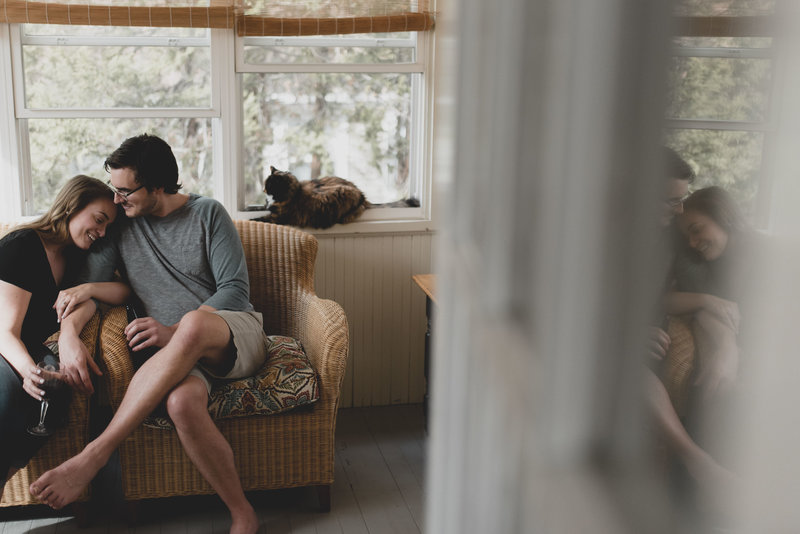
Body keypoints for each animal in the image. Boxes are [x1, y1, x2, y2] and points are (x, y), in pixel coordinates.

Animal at [255, 165, 418, 228]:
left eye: (268, 184)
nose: (262, 189)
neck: (294, 192)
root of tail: (362, 196)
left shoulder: (278, 217)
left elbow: (260, 219)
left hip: (343, 193)